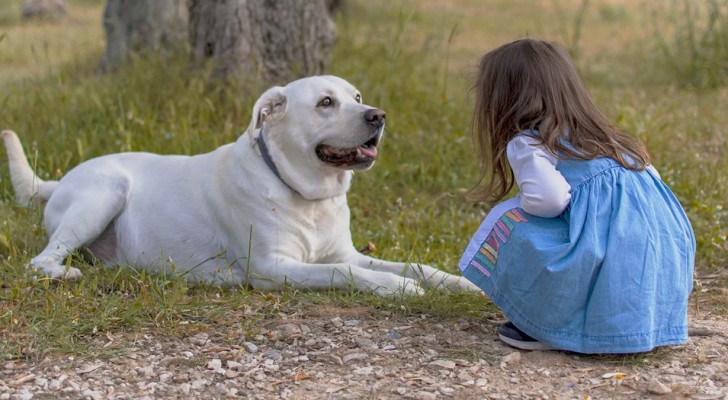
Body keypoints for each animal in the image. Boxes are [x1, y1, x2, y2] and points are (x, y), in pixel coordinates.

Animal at [2, 75, 478, 296]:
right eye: (326, 102)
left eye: (357, 97)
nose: (377, 116)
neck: (307, 196)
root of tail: (60, 179)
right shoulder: (274, 268)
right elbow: (344, 273)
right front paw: (396, 288)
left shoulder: (345, 252)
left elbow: (413, 265)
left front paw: (458, 283)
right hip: (104, 193)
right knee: (40, 261)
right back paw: (65, 273)